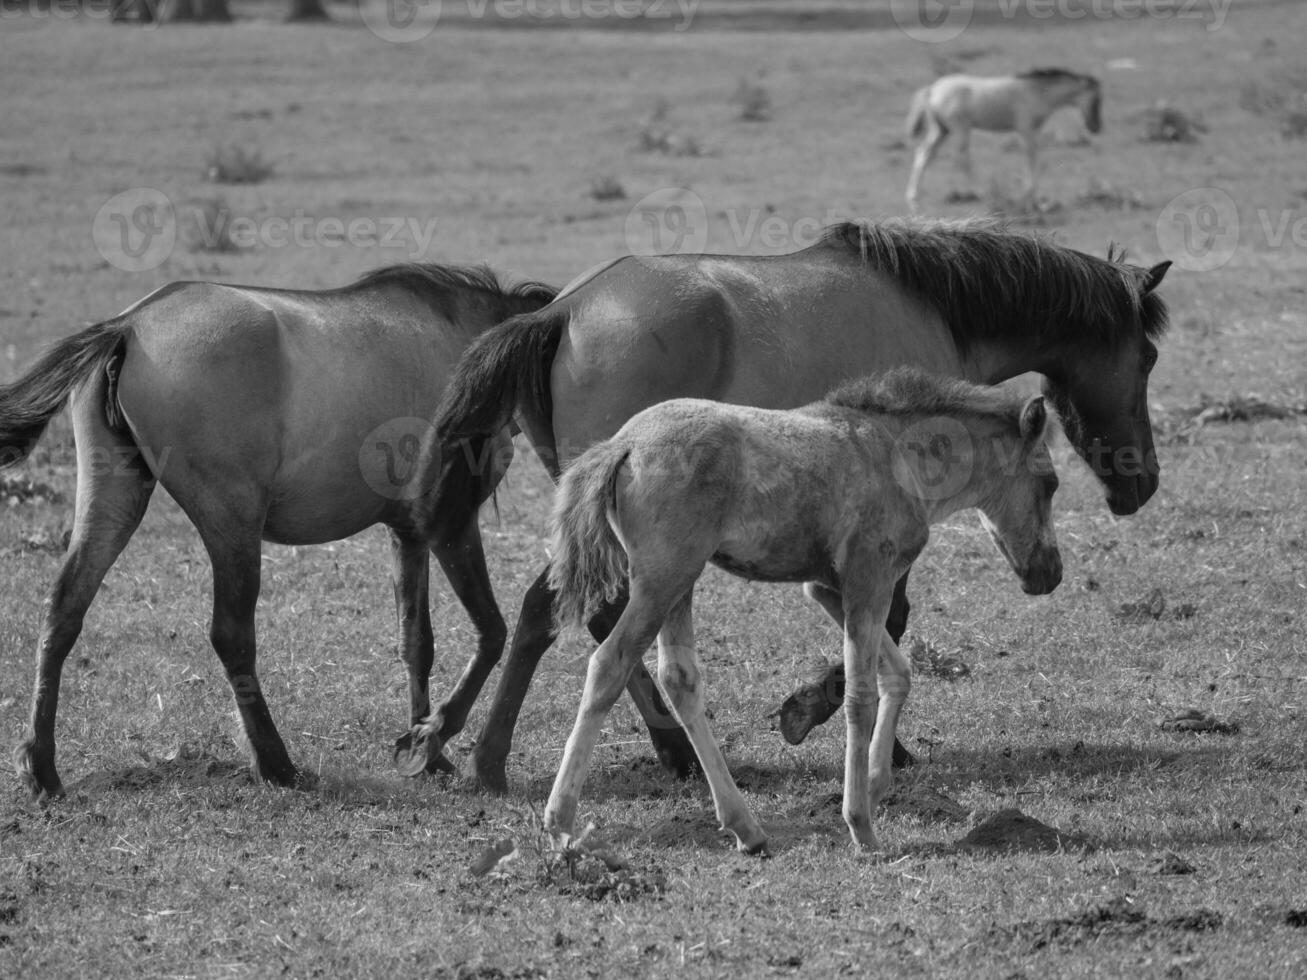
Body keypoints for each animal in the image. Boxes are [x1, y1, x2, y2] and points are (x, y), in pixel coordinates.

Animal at [0, 262, 551, 799]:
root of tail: (129, 327)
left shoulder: (408, 533)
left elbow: (417, 641)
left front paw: (427, 751)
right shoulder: (450, 526)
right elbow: (491, 632)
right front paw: (435, 736)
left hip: (114, 502)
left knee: (63, 611)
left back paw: (42, 767)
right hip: (233, 523)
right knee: (231, 635)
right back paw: (276, 763)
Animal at [413, 218, 1171, 794]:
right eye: (1147, 359)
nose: (1144, 481)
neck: (935, 307)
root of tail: (559, 311)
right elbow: (887, 618)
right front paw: (826, 719)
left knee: (579, 615)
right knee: (561, 613)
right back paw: (507, 756)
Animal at [546, 371, 1066, 857]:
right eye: (1051, 483)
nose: (1051, 573)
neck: (895, 453)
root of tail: (624, 443)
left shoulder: (827, 587)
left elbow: (897, 672)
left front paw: (875, 784)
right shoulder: (869, 578)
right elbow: (860, 695)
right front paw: (860, 824)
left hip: (680, 582)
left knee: (679, 678)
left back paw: (747, 828)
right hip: (663, 578)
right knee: (610, 663)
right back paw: (560, 821)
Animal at [909, 70, 1103, 212]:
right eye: (1096, 100)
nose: (1096, 127)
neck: (1035, 91)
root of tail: (932, 89)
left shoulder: (1031, 131)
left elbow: (1033, 159)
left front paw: (1033, 199)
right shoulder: (1026, 130)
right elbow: (1032, 158)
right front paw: (1029, 197)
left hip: (942, 130)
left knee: (924, 154)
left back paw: (913, 196)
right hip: (960, 129)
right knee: (962, 158)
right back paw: (980, 192)